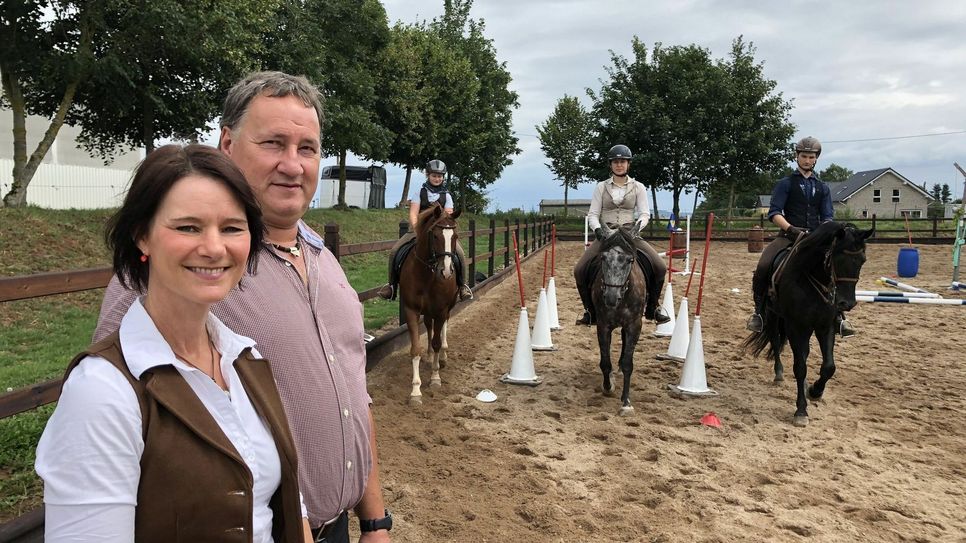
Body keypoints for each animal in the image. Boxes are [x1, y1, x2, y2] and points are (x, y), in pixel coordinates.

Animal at [398, 202, 464, 406]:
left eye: (455, 236)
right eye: (435, 236)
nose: (447, 272)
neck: (427, 273)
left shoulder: (441, 310)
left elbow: (436, 342)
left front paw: (435, 378)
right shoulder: (411, 310)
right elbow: (415, 349)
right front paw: (415, 392)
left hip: (446, 308)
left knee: (442, 330)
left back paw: (443, 356)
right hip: (427, 311)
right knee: (428, 325)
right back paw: (429, 357)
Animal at [588, 225, 652, 416]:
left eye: (630, 260)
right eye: (603, 258)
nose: (611, 297)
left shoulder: (634, 325)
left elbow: (628, 363)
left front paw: (626, 402)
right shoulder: (603, 326)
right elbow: (605, 361)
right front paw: (607, 386)